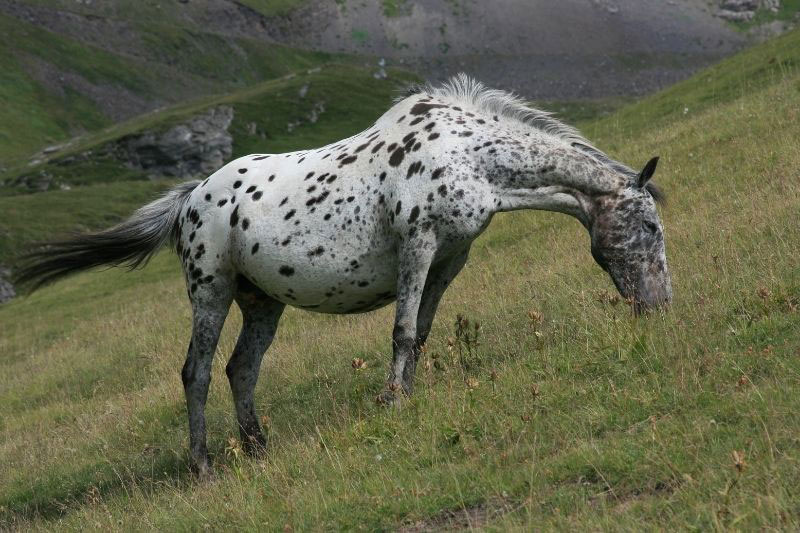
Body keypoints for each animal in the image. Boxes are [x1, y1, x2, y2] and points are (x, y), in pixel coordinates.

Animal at [15, 74, 672, 477]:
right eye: (651, 226)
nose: (660, 306)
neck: (469, 156)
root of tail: (190, 198)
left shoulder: (449, 259)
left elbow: (421, 333)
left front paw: (408, 393)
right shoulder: (417, 245)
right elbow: (402, 331)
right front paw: (392, 401)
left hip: (262, 301)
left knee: (241, 368)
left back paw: (258, 448)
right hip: (211, 291)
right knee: (196, 373)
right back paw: (202, 464)